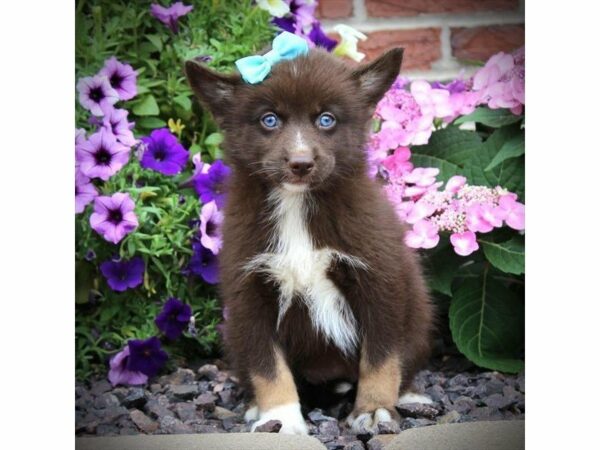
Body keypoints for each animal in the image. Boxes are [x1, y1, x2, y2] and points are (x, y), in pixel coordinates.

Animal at [185, 44, 434, 434]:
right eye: (269, 120)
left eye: (326, 120)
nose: (300, 163)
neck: (297, 205)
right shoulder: (250, 293)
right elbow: (268, 366)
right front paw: (281, 418)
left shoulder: (380, 281)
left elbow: (380, 356)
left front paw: (374, 409)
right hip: (233, 334)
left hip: (419, 317)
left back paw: (408, 396)